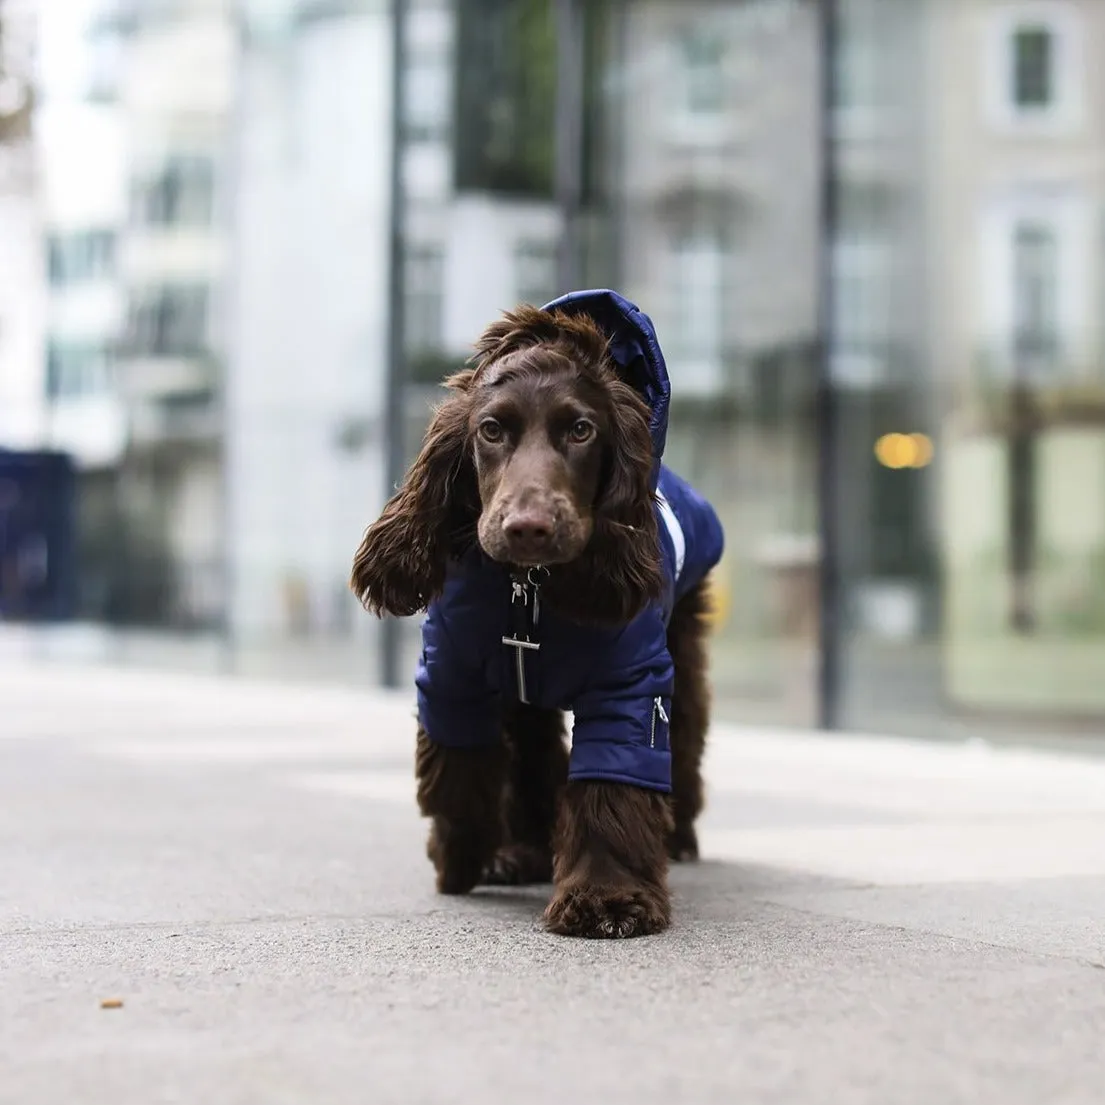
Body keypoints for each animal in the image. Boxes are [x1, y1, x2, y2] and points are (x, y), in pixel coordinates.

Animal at [351, 289, 724, 937]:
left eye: (581, 429)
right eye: (491, 430)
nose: (528, 527)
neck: (529, 592)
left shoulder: (629, 687)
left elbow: (612, 785)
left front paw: (607, 897)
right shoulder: (452, 680)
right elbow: (460, 772)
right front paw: (462, 855)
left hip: (680, 647)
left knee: (682, 737)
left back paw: (676, 838)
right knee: (529, 759)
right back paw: (517, 852)